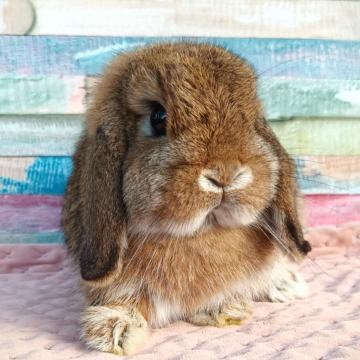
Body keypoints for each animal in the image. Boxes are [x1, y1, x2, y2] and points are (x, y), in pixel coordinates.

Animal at [61, 42, 310, 354]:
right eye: (158, 118)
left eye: (251, 121)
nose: (225, 174)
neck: (199, 233)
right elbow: (125, 300)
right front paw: (115, 330)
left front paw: (223, 308)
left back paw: (288, 285)